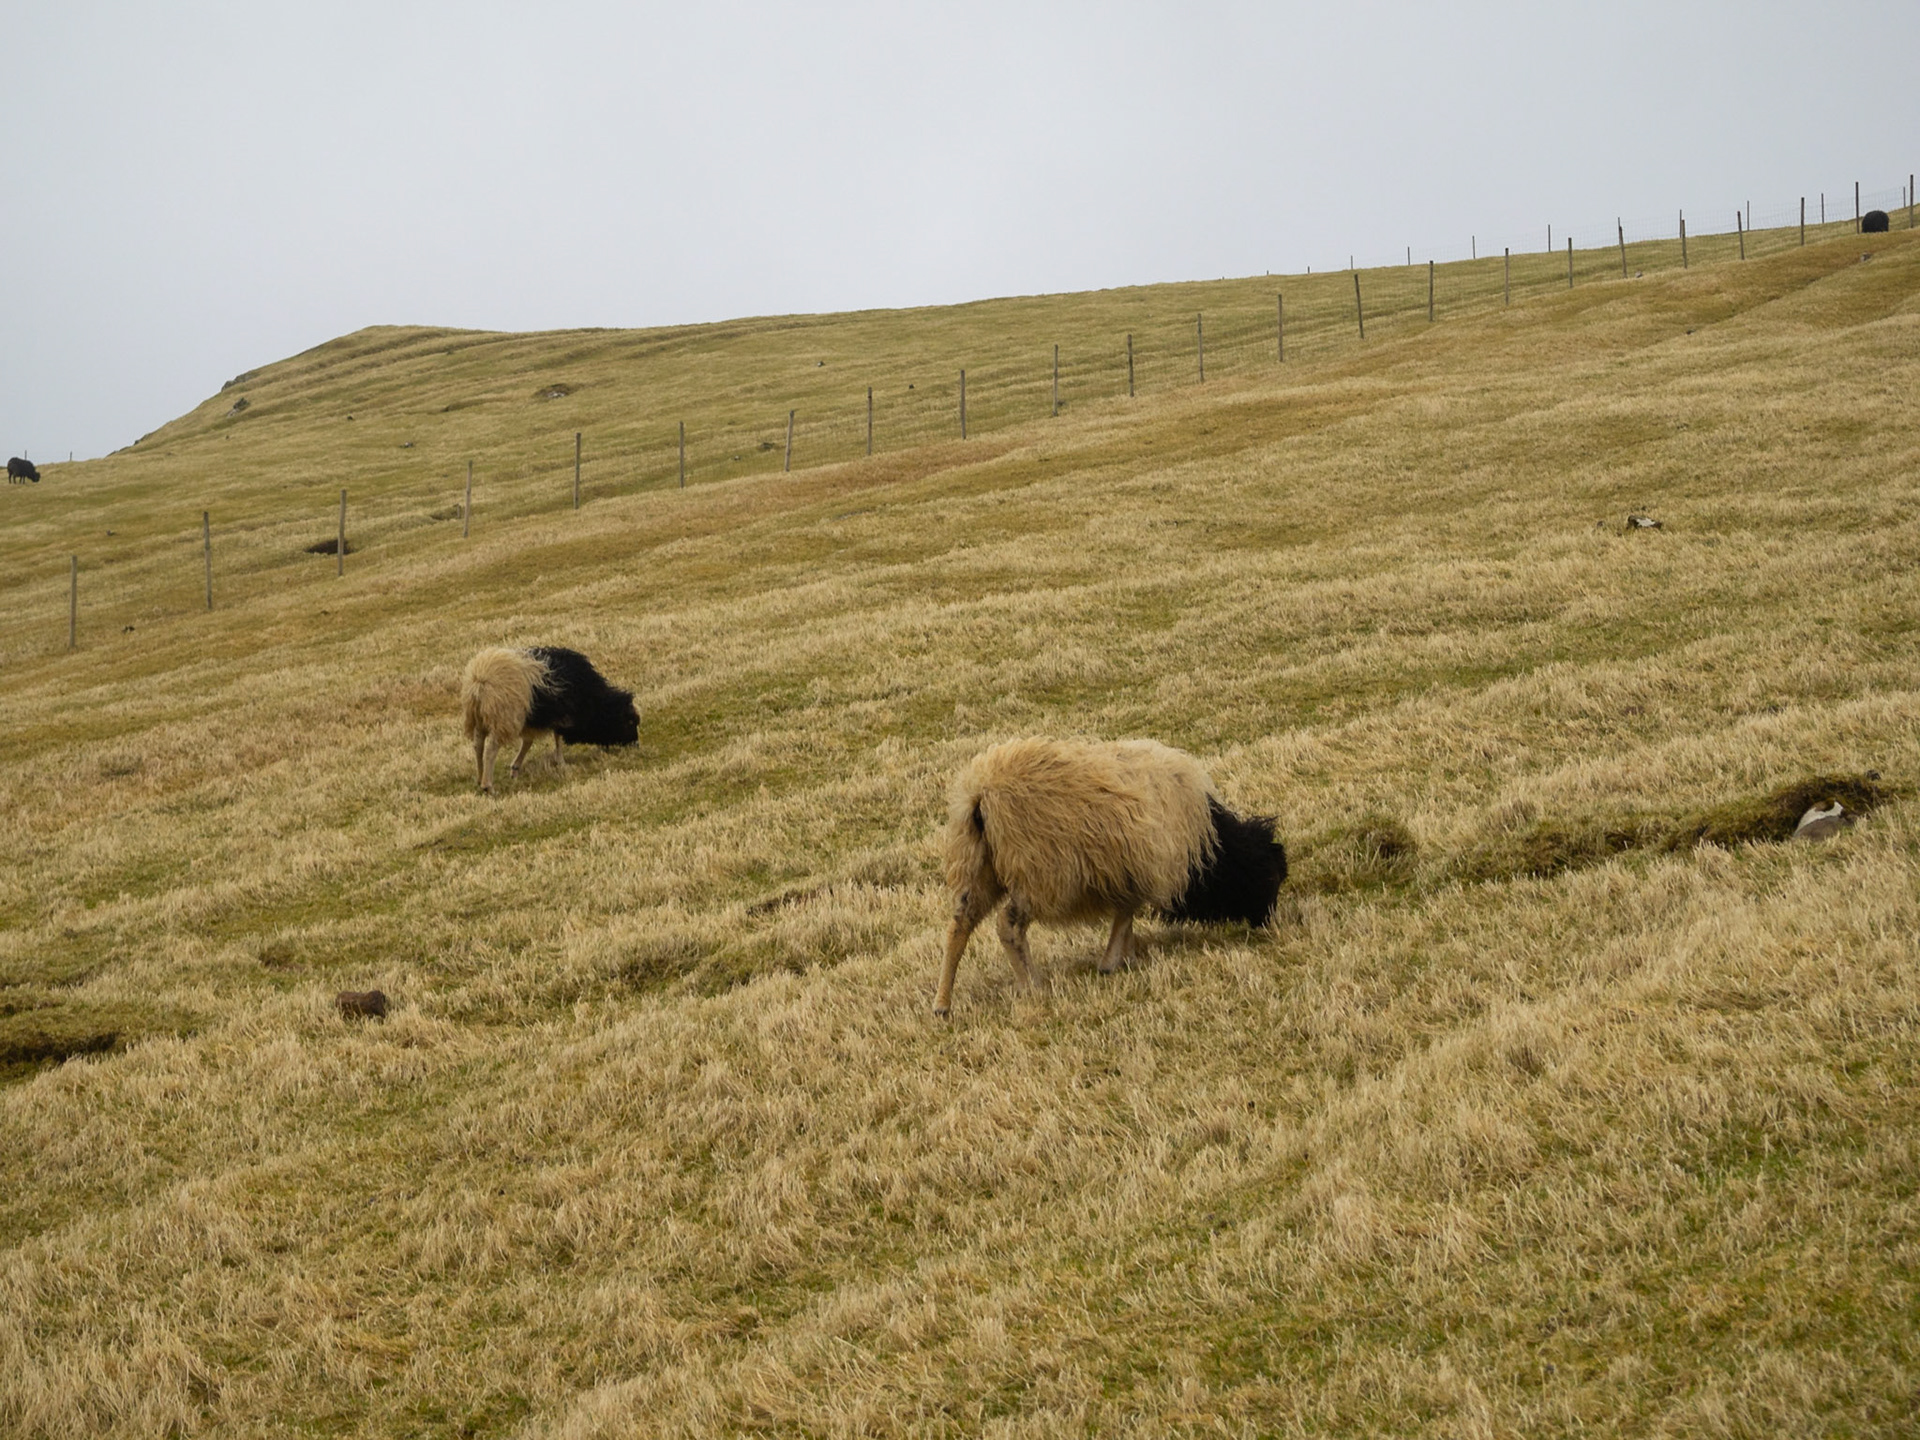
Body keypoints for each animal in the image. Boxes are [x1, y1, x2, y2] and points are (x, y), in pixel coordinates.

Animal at [460, 645, 639, 793]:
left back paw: (480, 777)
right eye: (629, 722)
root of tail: (479, 679)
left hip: (480, 718)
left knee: (478, 745)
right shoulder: (561, 715)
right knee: (491, 749)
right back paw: (488, 786)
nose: (636, 745)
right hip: (504, 717)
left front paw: (515, 768)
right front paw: (561, 762)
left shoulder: (534, 718)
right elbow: (557, 738)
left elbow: (529, 741)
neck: (593, 699)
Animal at [934, 737, 1288, 1015]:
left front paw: (1126, 956)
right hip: (1038, 872)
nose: (1268, 924)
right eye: (1271, 879)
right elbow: (1126, 912)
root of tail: (980, 795)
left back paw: (943, 1003)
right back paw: (1031, 985)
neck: (1210, 844)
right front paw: (1111, 961)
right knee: (1007, 926)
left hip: (978, 867)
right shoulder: (1145, 868)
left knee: (959, 925)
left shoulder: (1129, 871)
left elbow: (1126, 912)